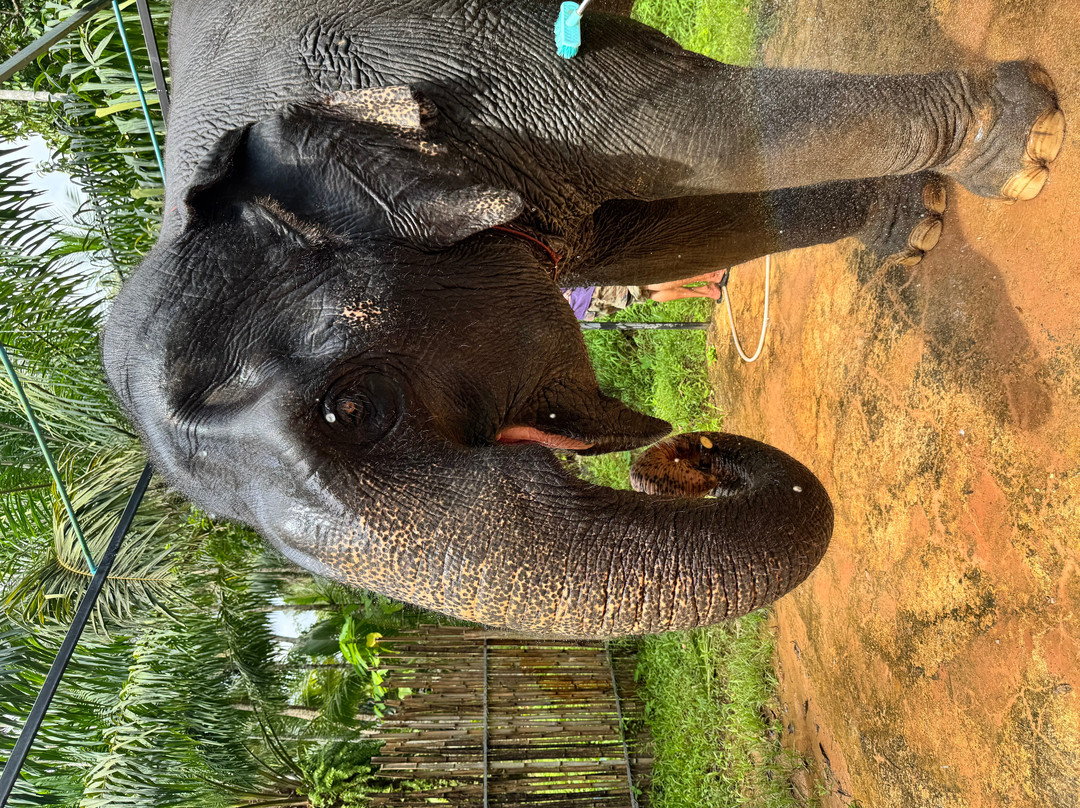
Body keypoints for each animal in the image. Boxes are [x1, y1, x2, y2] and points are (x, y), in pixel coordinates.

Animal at [102, 0, 1064, 637]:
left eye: (353, 409)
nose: (690, 452)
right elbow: (654, 236)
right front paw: (918, 222)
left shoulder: (453, 52)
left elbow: (703, 127)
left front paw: (1026, 147)